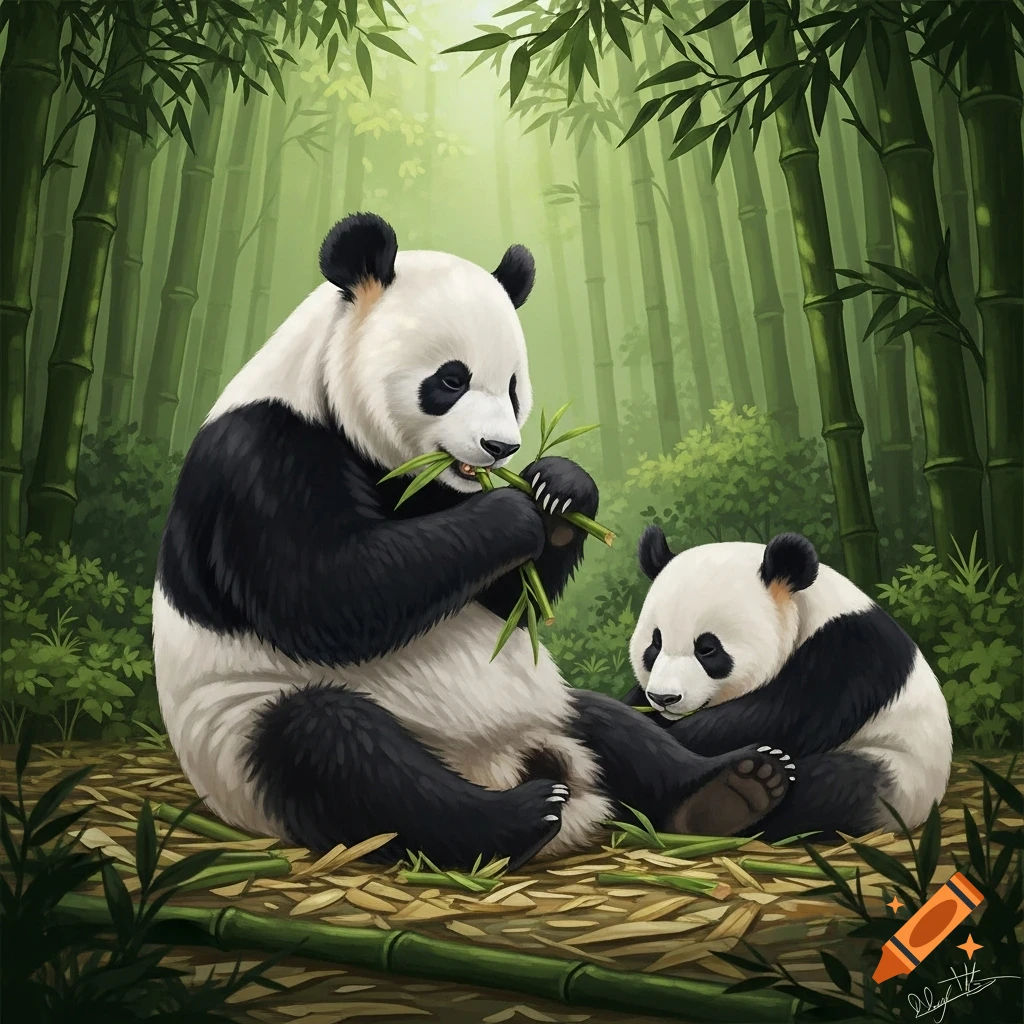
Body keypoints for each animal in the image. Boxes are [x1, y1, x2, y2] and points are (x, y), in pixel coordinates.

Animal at [152, 212, 799, 872]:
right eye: (451, 379)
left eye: (512, 387)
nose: (500, 448)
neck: (322, 396)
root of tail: (508, 760)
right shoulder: (261, 459)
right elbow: (328, 593)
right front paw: (512, 511)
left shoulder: (426, 487)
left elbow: (502, 602)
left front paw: (560, 489)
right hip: (246, 731)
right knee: (340, 753)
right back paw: (518, 817)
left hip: (549, 702)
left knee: (614, 723)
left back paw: (735, 787)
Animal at [621, 526, 952, 840]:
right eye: (655, 643)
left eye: (707, 649)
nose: (663, 697)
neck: (806, 609)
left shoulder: (848, 655)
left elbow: (771, 718)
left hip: (900, 775)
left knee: (833, 788)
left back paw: (731, 796)